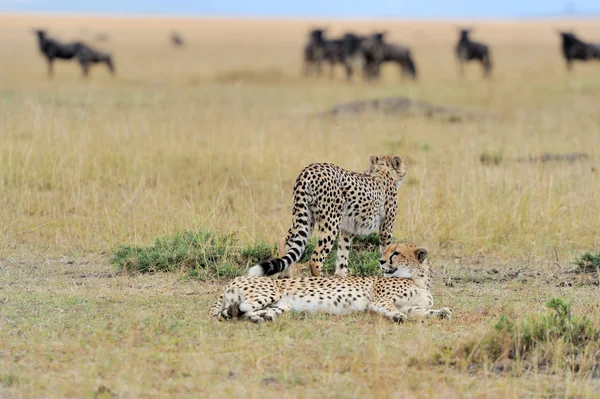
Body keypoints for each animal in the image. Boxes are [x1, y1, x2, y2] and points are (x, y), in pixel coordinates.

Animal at [211, 242, 450, 324]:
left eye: (396, 253)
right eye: (386, 251)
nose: (381, 261)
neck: (418, 280)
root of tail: (234, 279)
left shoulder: (412, 306)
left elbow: (422, 311)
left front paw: (441, 312)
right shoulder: (380, 301)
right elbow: (392, 309)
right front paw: (397, 317)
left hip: (282, 305)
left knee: (243, 311)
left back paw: (262, 317)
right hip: (268, 293)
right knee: (237, 310)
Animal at [246, 155, 406, 280]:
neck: (383, 171)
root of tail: (309, 170)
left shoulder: (348, 228)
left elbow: (342, 253)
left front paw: (341, 276)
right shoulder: (386, 228)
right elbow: (386, 250)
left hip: (305, 216)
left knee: (285, 241)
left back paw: (285, 275)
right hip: (331, 221)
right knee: (315, 258)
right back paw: (321, 279)